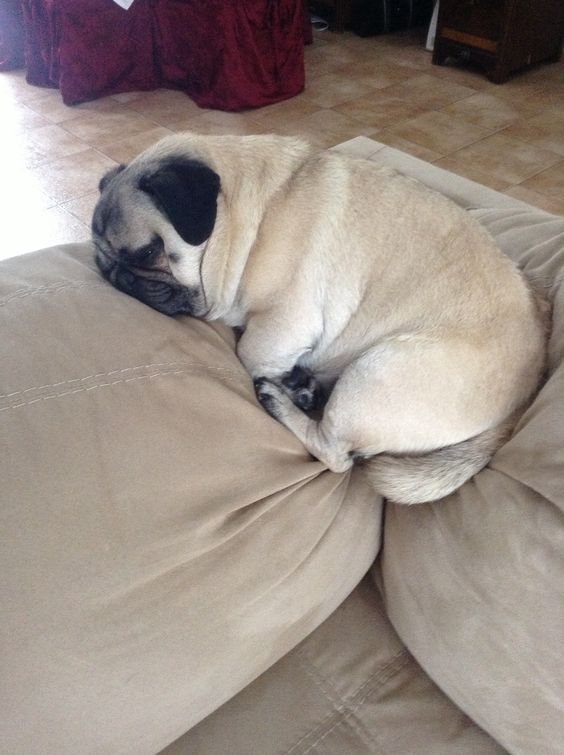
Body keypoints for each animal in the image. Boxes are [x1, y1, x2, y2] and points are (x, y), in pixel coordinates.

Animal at [91, 133, 548, 504]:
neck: (246, 219)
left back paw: (282, 400)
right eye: (99, 257)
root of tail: (520, 404)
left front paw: (281, 380)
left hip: (376, 373)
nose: (117, 275)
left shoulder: (285, 322)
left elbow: (249, 354)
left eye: (150, 252)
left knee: (337, 453)